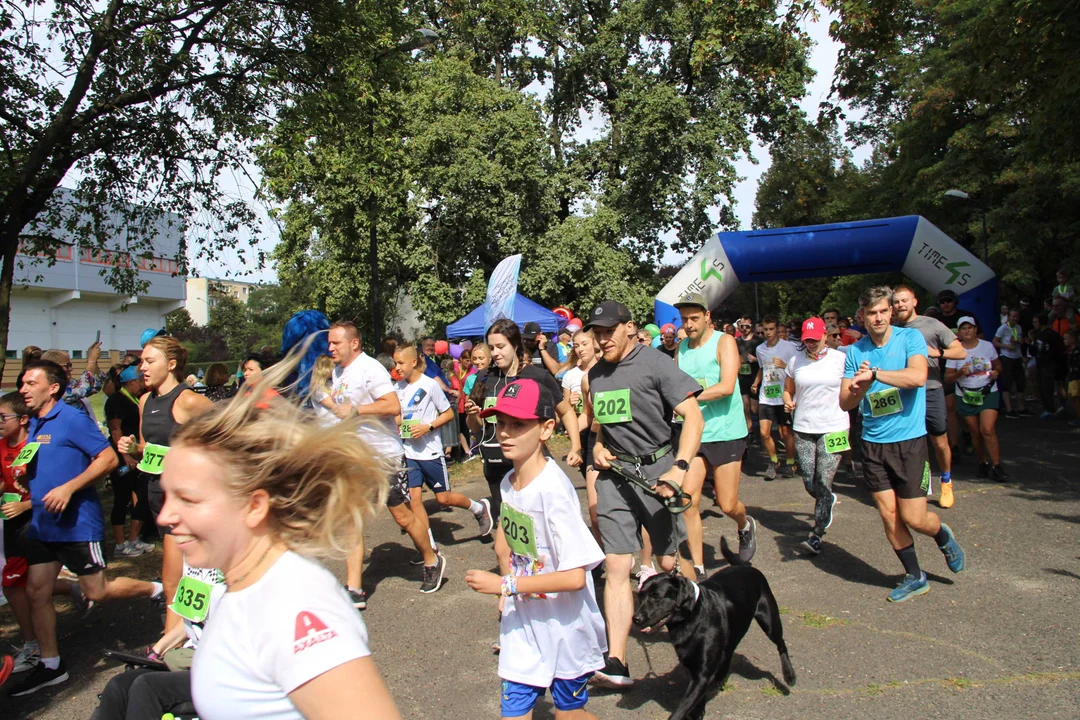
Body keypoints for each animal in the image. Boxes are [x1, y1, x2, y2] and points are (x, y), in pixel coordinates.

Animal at [630, 537, 794, 716]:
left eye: (656, 597)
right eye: (640, 596)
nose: (635, 619)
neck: (692, 617)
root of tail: (744, 566)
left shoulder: (701, 674)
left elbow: (680, 711)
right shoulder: (696, 670)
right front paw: (698, 710)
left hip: (769, 620)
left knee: (781, 644)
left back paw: (789, 676)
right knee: (729, 653)